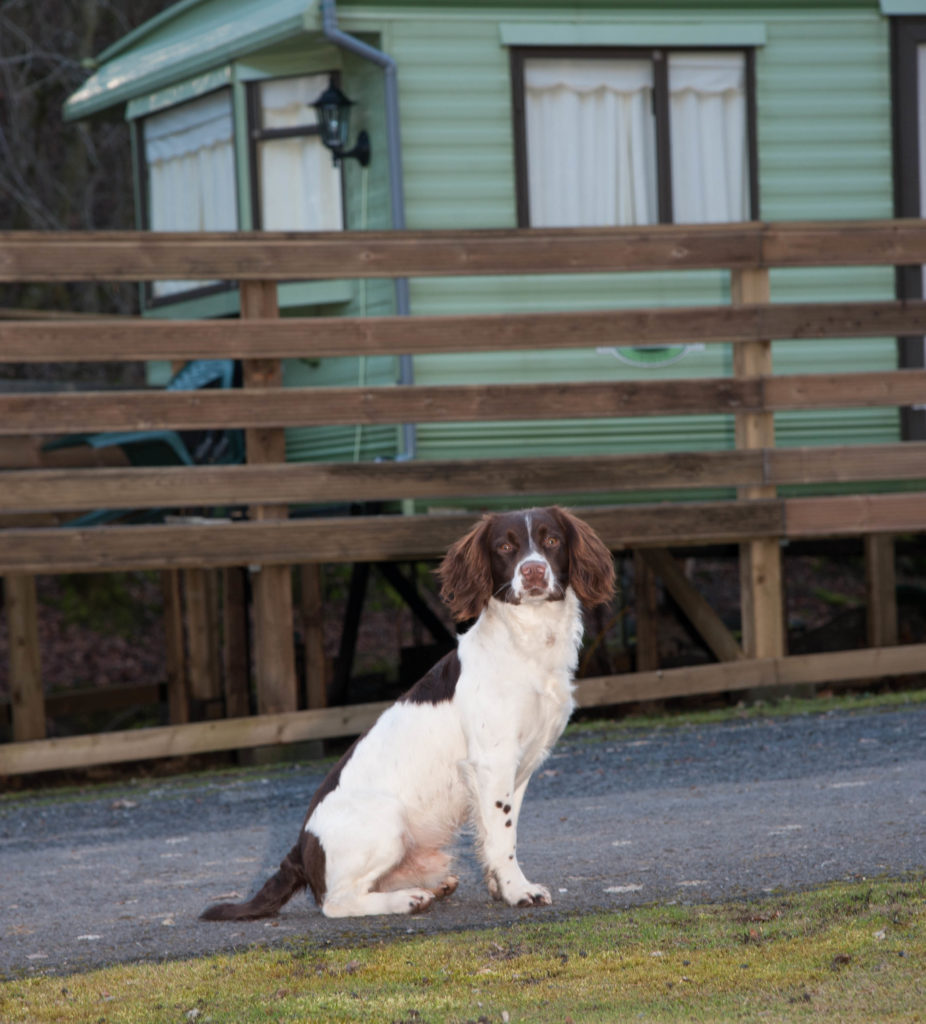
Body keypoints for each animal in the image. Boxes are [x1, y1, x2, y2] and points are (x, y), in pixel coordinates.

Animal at [200, 505, 614, 921]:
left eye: (552, 540)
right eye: (505, 547)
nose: (533, 571)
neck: (526, 645)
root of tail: (302, 849)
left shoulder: (517, 769)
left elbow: (493, 833)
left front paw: (500, 887)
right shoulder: (493, 762)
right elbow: (502, 838)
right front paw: (518, 891)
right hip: (389, 821)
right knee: (336, 902)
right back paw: (407, 899)